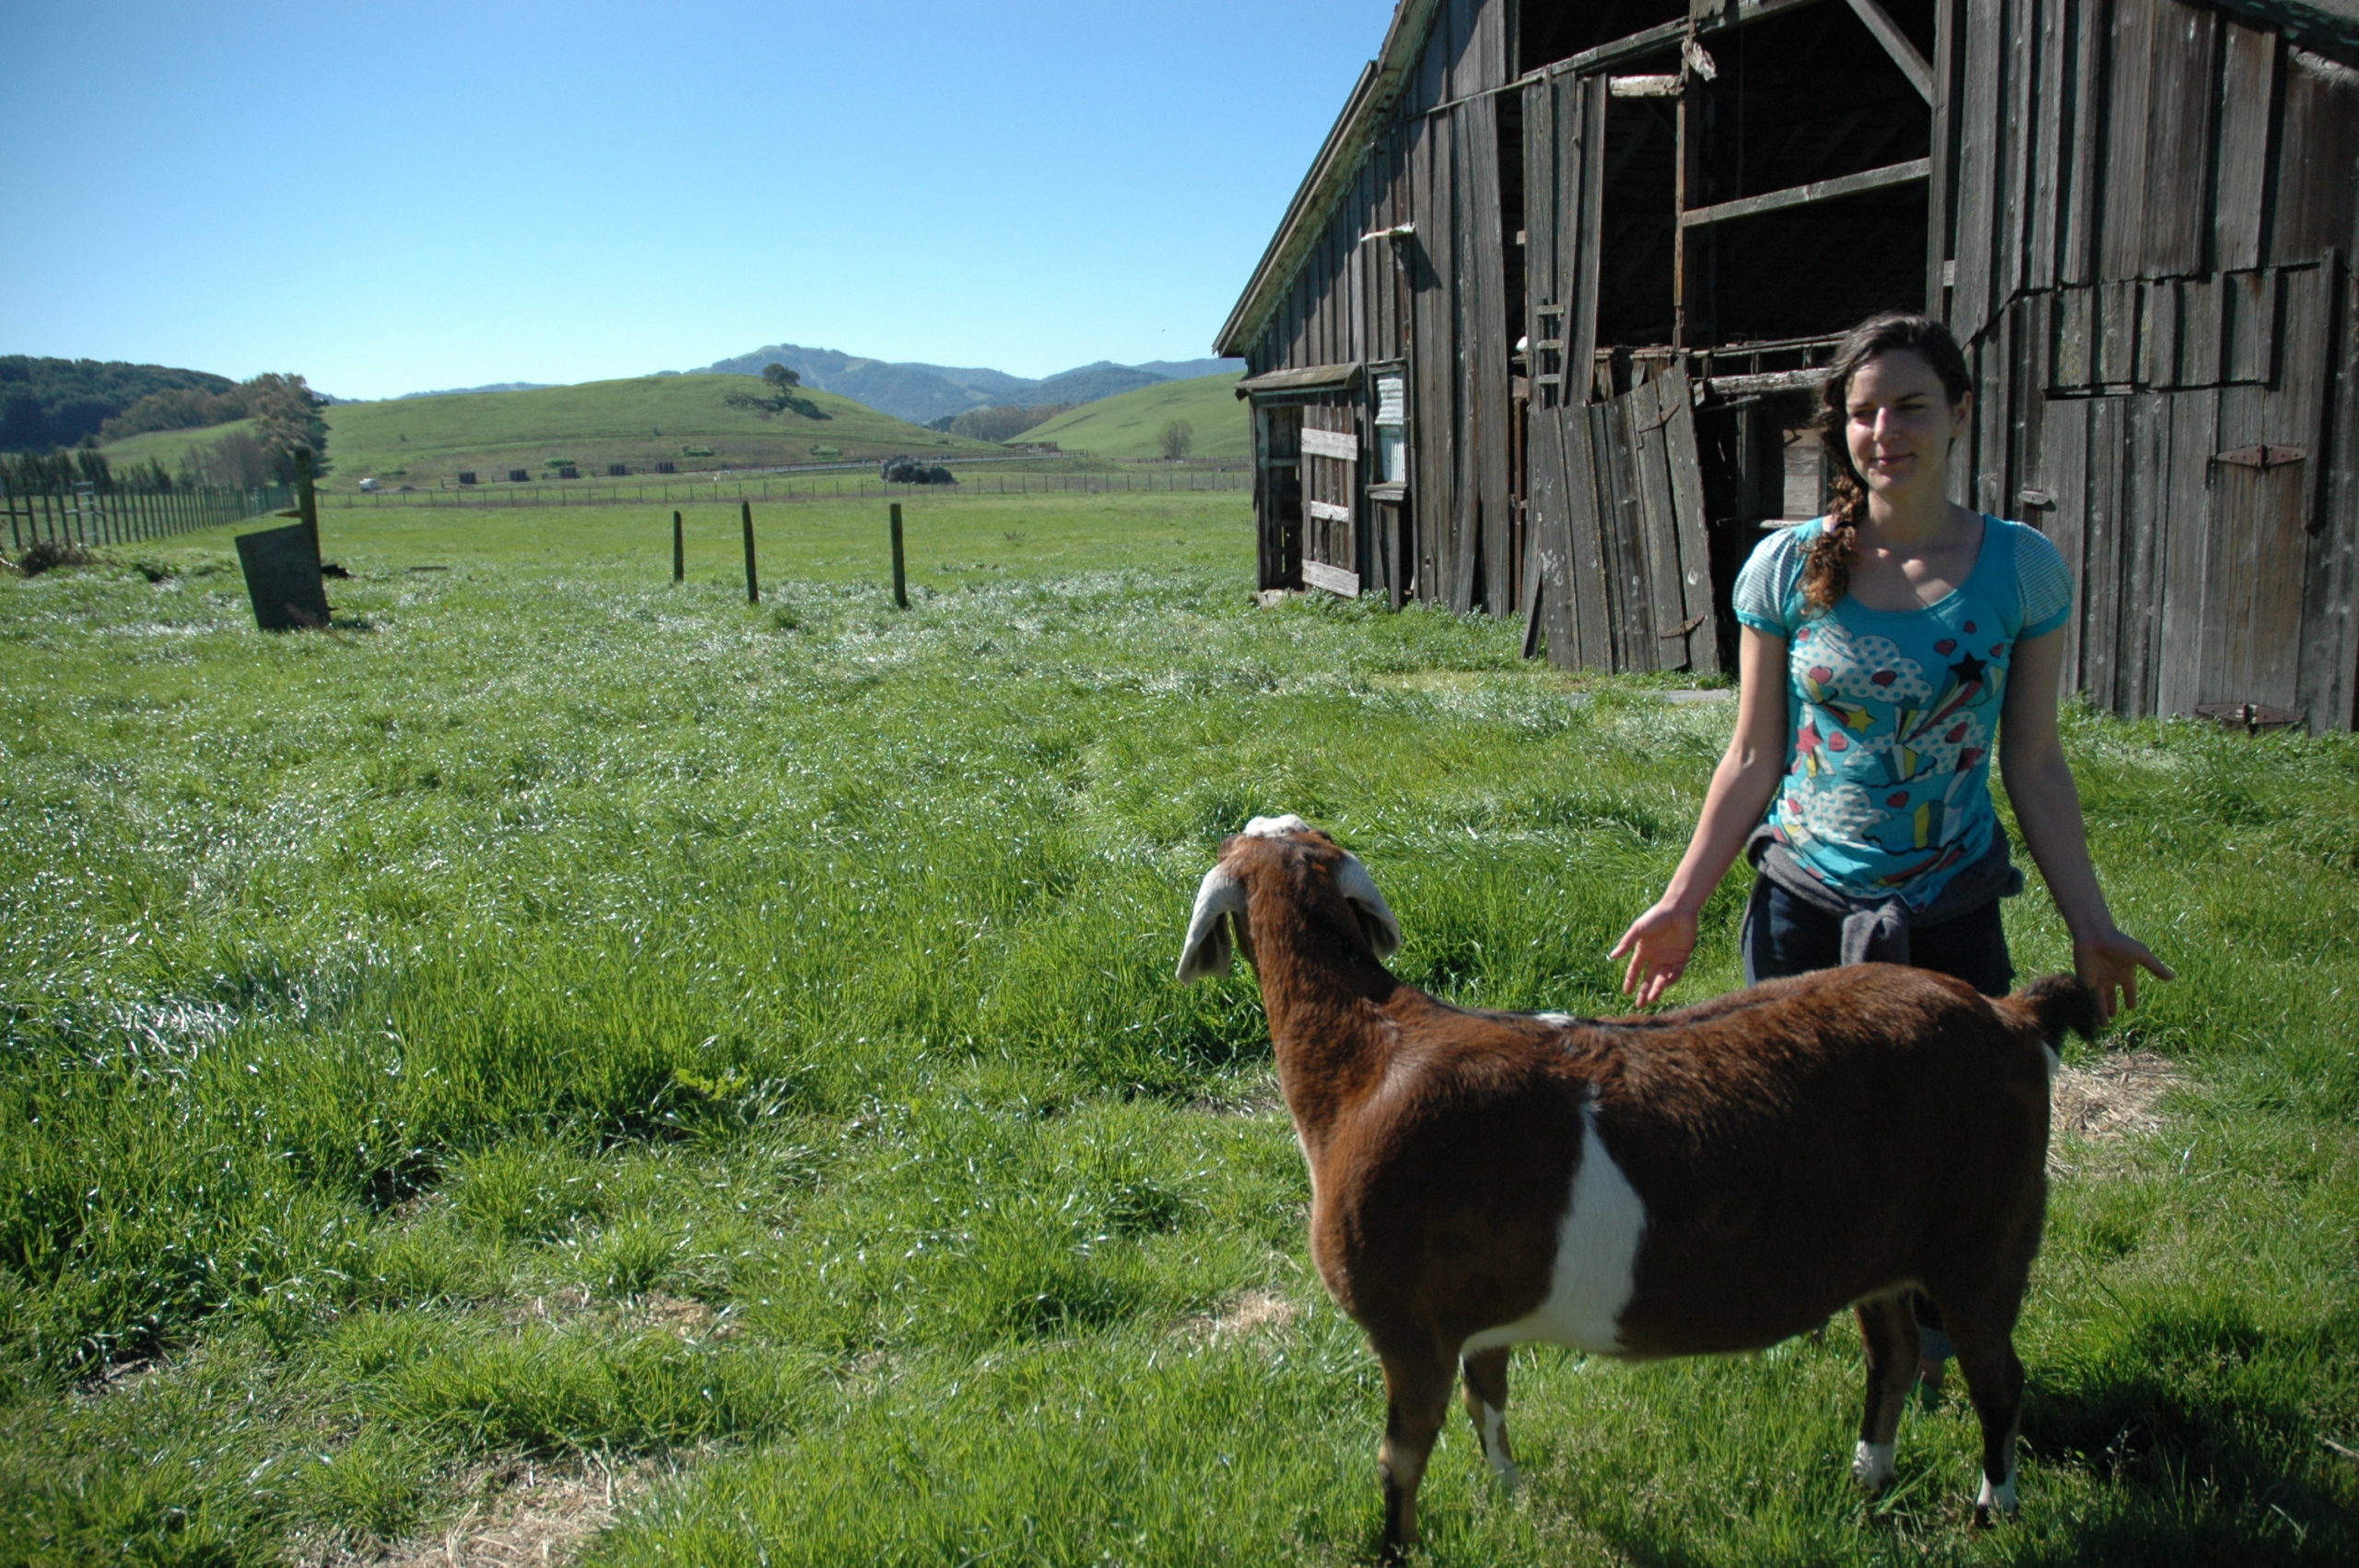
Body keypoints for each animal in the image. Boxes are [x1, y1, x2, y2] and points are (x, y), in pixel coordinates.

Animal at [1180, 820, 2104, 1556]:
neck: (1367, 1060)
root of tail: (2014, 1017)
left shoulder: (1408, 1325)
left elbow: (1400, 1459)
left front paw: (1397, 1550)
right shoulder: (1472, 1318)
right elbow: (1490, 1403)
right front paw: (1511, 1494)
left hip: (1983, 1243)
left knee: (1997, 1374)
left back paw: (1991, 1512)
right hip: (1883, 1252)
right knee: (1896, 1350)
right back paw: (1867, 1479)